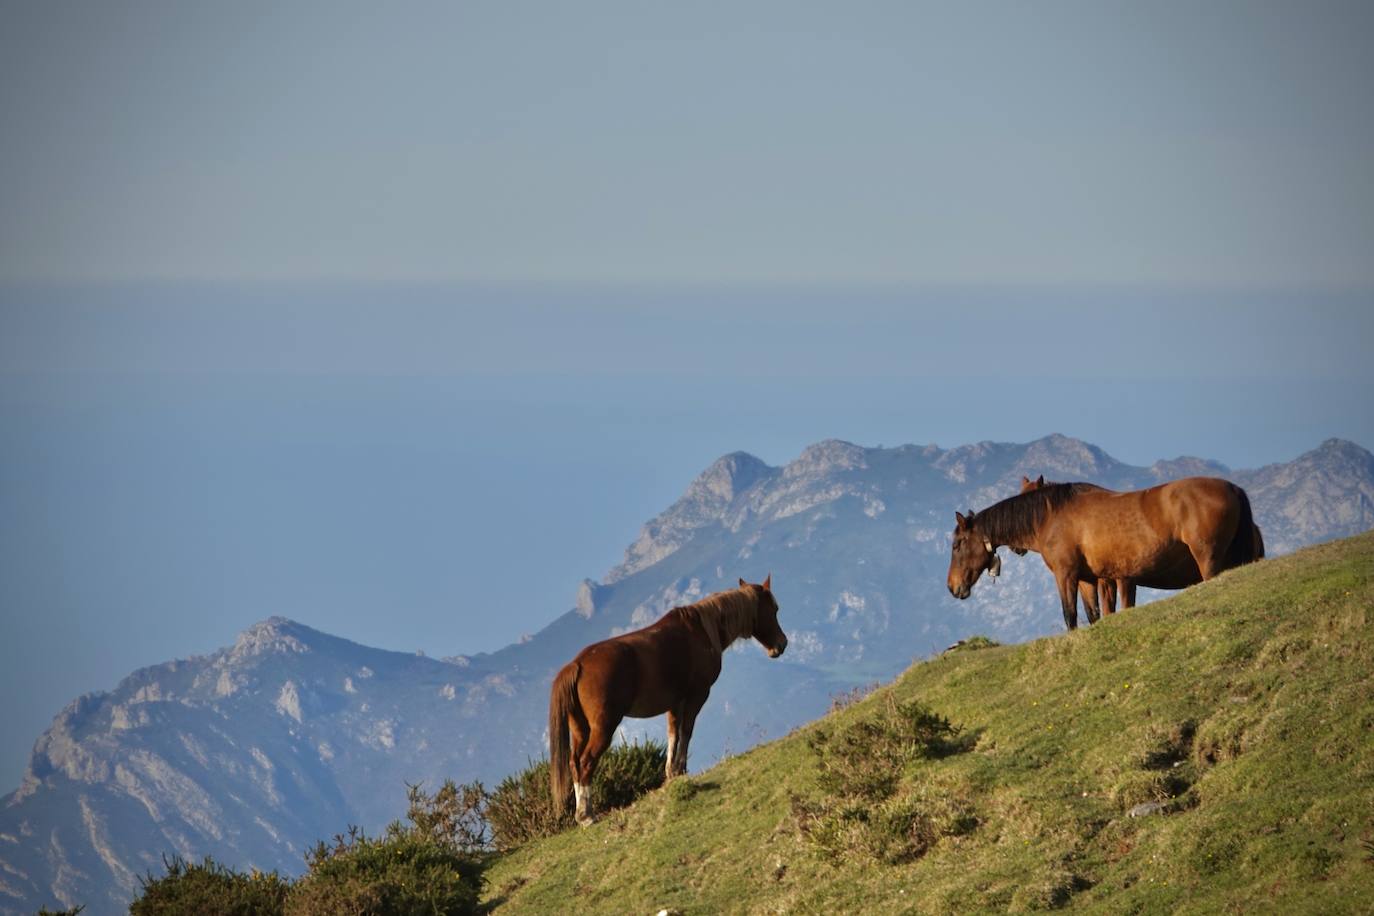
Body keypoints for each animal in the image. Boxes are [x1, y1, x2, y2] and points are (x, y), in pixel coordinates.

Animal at [544, 576, 785, 829]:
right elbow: (686, 730)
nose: (781, 644)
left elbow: (673, 733)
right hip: (603, 727)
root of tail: (577, 664)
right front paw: (681, 769)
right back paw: (587, 815)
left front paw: (671, 772)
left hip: (580, 729)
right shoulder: (697, 695)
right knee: (586, 762)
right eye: (774, 609)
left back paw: (581, 812)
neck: (701, 630)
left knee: (574, 763)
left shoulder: (675, 702)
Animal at [950, 480, 1258, 631]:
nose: (953, 587)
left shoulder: (1067, 575)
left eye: (957, 545)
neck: (1051, 516)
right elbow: (1094, 615)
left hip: (1209, 561)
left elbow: (1070, 615)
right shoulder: (1089, 579)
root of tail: (1232, 488)